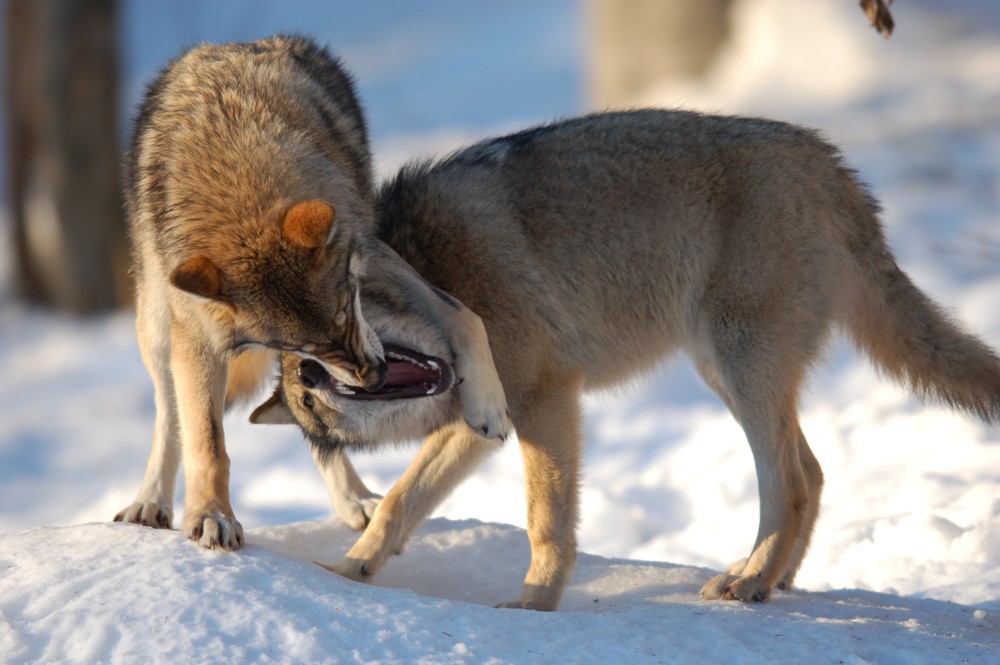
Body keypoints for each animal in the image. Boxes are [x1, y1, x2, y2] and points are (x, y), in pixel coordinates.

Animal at [115, 33, 508, 548]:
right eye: (301, 345)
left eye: (348, 309)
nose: (375, 379)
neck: (237, 173)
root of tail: (238, 43)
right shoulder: (199, 337)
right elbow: (208, 442)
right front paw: (213, 515)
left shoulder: (366, 250)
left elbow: (463, 313)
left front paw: (489, 405)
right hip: (158, 328)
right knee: (170, 416)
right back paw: (149, 503)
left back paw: (356, 500)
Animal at [250, 110, 1000, 612]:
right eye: (311, 391)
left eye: (314, 366)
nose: (347, 378)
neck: (434, 266)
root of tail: (829, 161)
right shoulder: (483, 423)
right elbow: (397, 504)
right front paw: (346, 574)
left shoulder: (546, 398)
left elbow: (545, 521)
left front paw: (533, 607)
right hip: (724, 374)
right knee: (811, 473)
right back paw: (775, 580)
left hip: (740, 368)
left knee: (788, 481)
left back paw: (749, 580)